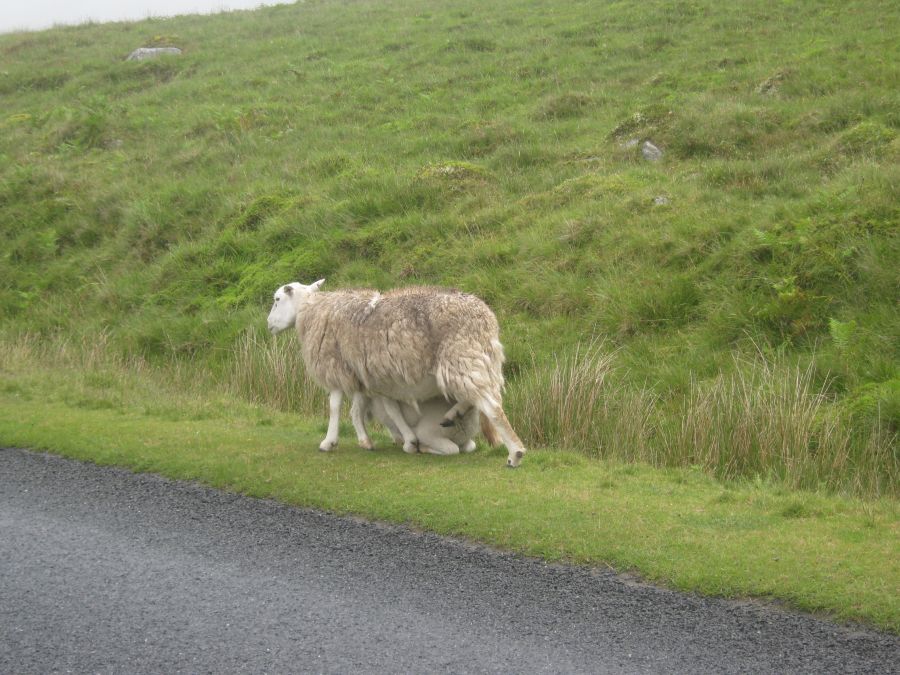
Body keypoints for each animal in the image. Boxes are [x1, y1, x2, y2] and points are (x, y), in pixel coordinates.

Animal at [268, 282, 532, 468]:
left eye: (277, 299)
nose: (268, 325)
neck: (311, 309)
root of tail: (486, 317)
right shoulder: (368, 375)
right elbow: (365, 409)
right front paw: (373, 440)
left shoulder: (335, 365)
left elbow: (335, 406)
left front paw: (328, 442)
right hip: (475, 359)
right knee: (477, 398)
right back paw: (452, 415)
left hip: (461, 357)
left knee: (491, 406)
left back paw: (515, 453)